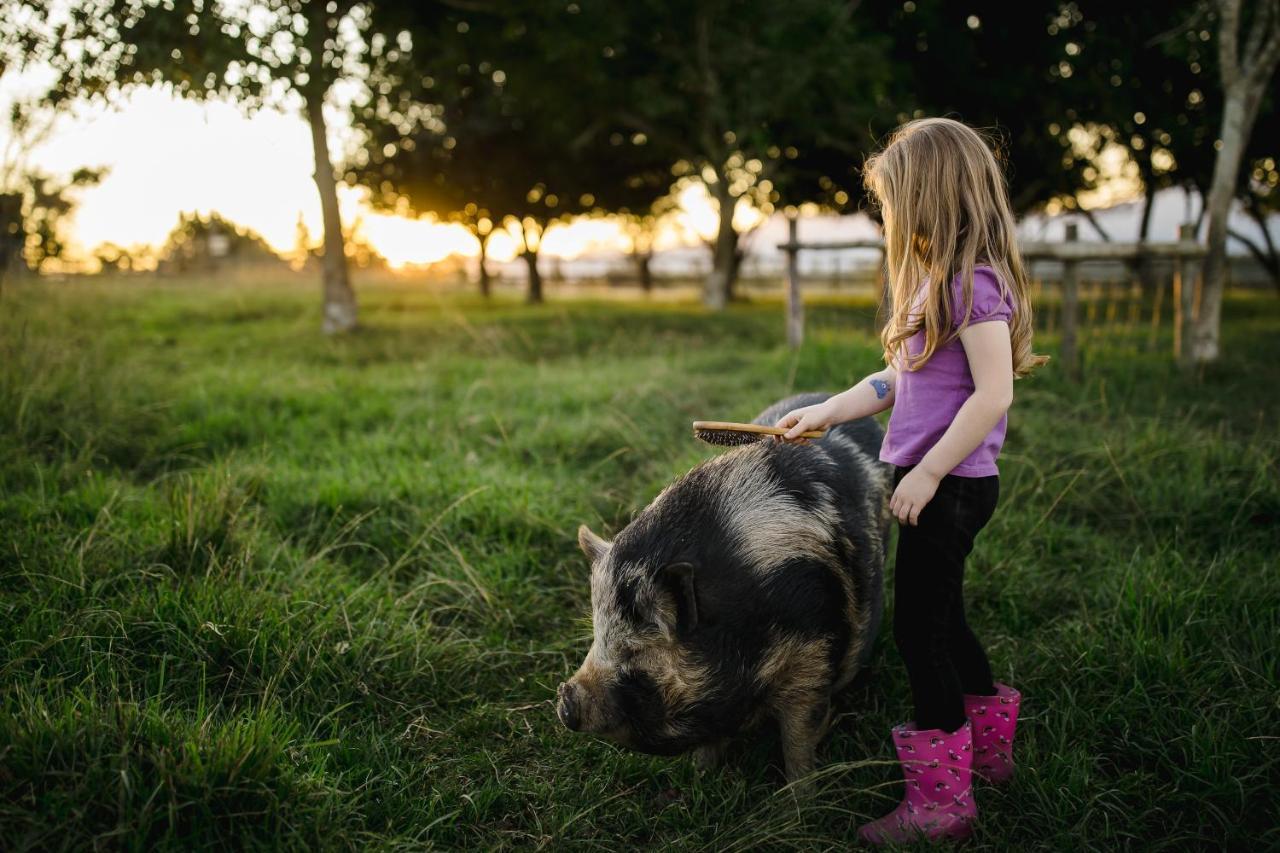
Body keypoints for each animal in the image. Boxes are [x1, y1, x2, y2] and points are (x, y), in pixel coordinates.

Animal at [555, 391, 896, 783]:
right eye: (597, 637)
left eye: (634, 651)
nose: (565, 699)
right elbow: (711, 743)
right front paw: (700, 779)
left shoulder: (815, 656)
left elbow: (798, 741)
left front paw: (801, 794)